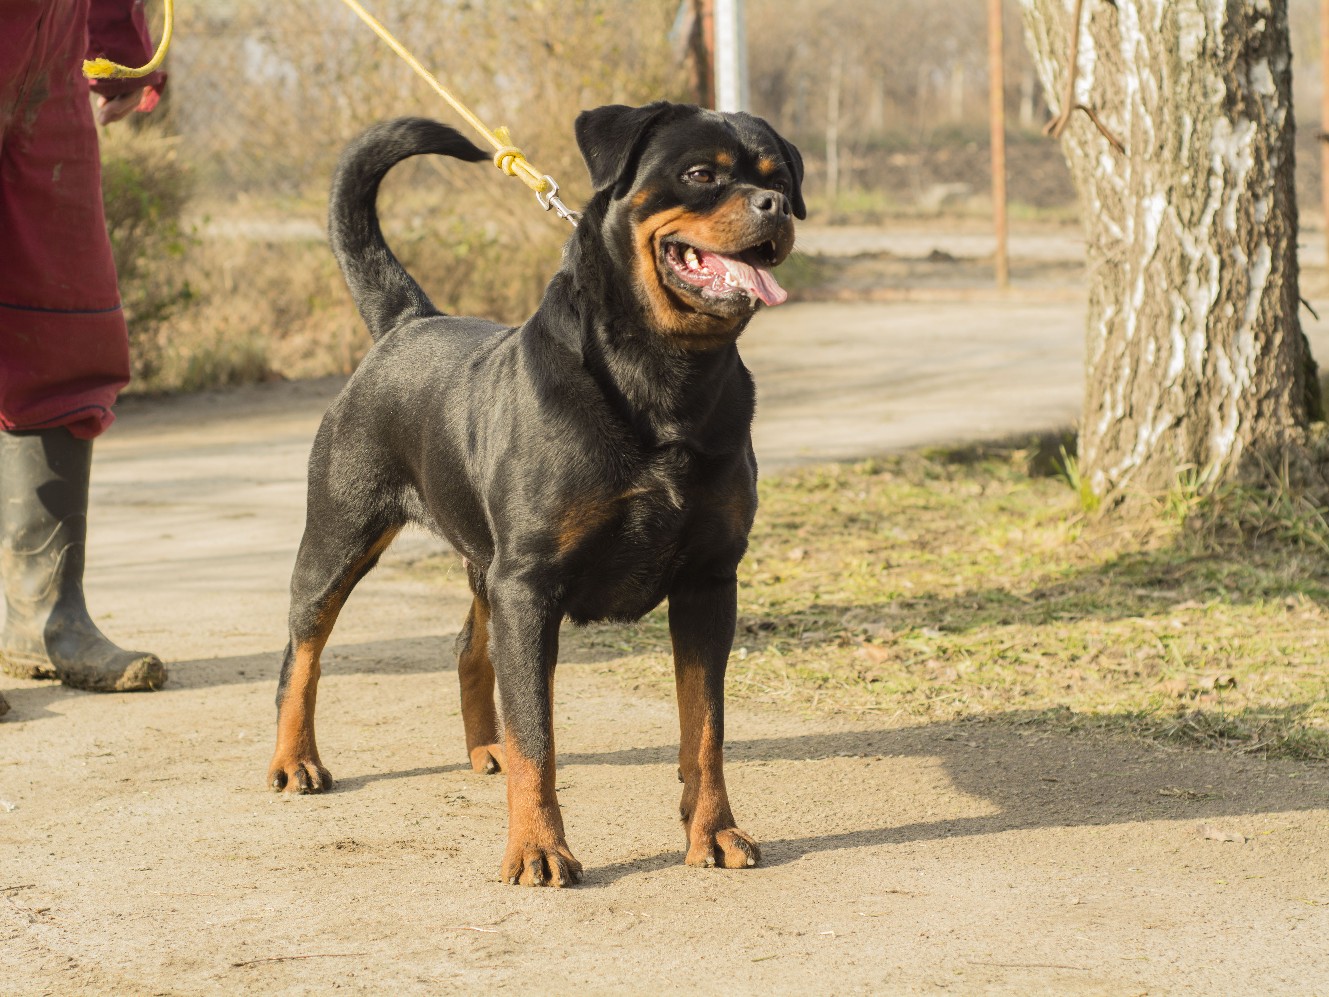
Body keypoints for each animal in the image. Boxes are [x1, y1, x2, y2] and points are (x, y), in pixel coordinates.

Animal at [265, 101, 802, 887]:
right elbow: (537, 736)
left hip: (484, 563)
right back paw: (294, 759)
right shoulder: (530, 584)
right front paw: (538, 848)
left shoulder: (708, 580)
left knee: (468, 645)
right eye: (701, 174)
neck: (664, 376)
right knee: (301, 651)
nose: (773, 208)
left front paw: (713, 830)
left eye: (779, 179)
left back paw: (480, 747)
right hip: (340, 535)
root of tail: (408, 321)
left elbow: (704, 729)